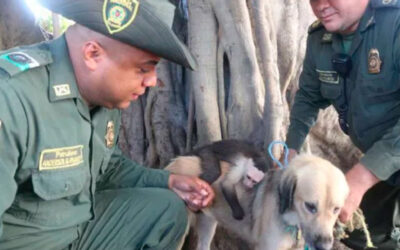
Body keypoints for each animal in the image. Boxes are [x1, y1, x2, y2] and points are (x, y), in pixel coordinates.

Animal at [166, 153, 346, 249]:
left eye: (336, 209)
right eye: (310, 206)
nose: (325, 246)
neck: (291, 220)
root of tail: (172, 164)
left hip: (207, 224)